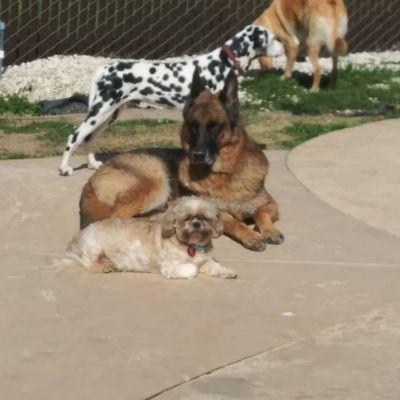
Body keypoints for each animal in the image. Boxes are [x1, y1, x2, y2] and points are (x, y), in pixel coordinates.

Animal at [59, 24, 284, 176]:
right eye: (273, 38)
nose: (284, 47)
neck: (222, 63)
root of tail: (104, 68)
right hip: (100, 111)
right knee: (74, 137)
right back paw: (64, 168)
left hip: (109, 114)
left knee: (88, 138)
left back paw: (92, 164)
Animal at [64, 196, 236, 278]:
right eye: (186, 218)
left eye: (205, 218)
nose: (196, 223)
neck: (190, 245)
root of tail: (80, 233)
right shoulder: (170, 268)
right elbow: (192, 269)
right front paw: (195, 268)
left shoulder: (206, 259)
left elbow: (214, 266)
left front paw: (227, 272)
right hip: (93, 246)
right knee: (86, 261)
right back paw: (103, 266)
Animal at [79, 68, 282, 250]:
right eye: (193, 125)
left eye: (214, 126)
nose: (197, 155)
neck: (225, 172)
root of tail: (92, 179)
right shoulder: (213, 210)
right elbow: (233, 220)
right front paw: (251, 235)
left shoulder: (271, 203)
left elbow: (260, 212)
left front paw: (270, 231)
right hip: (155, 182)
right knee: (113, 218)